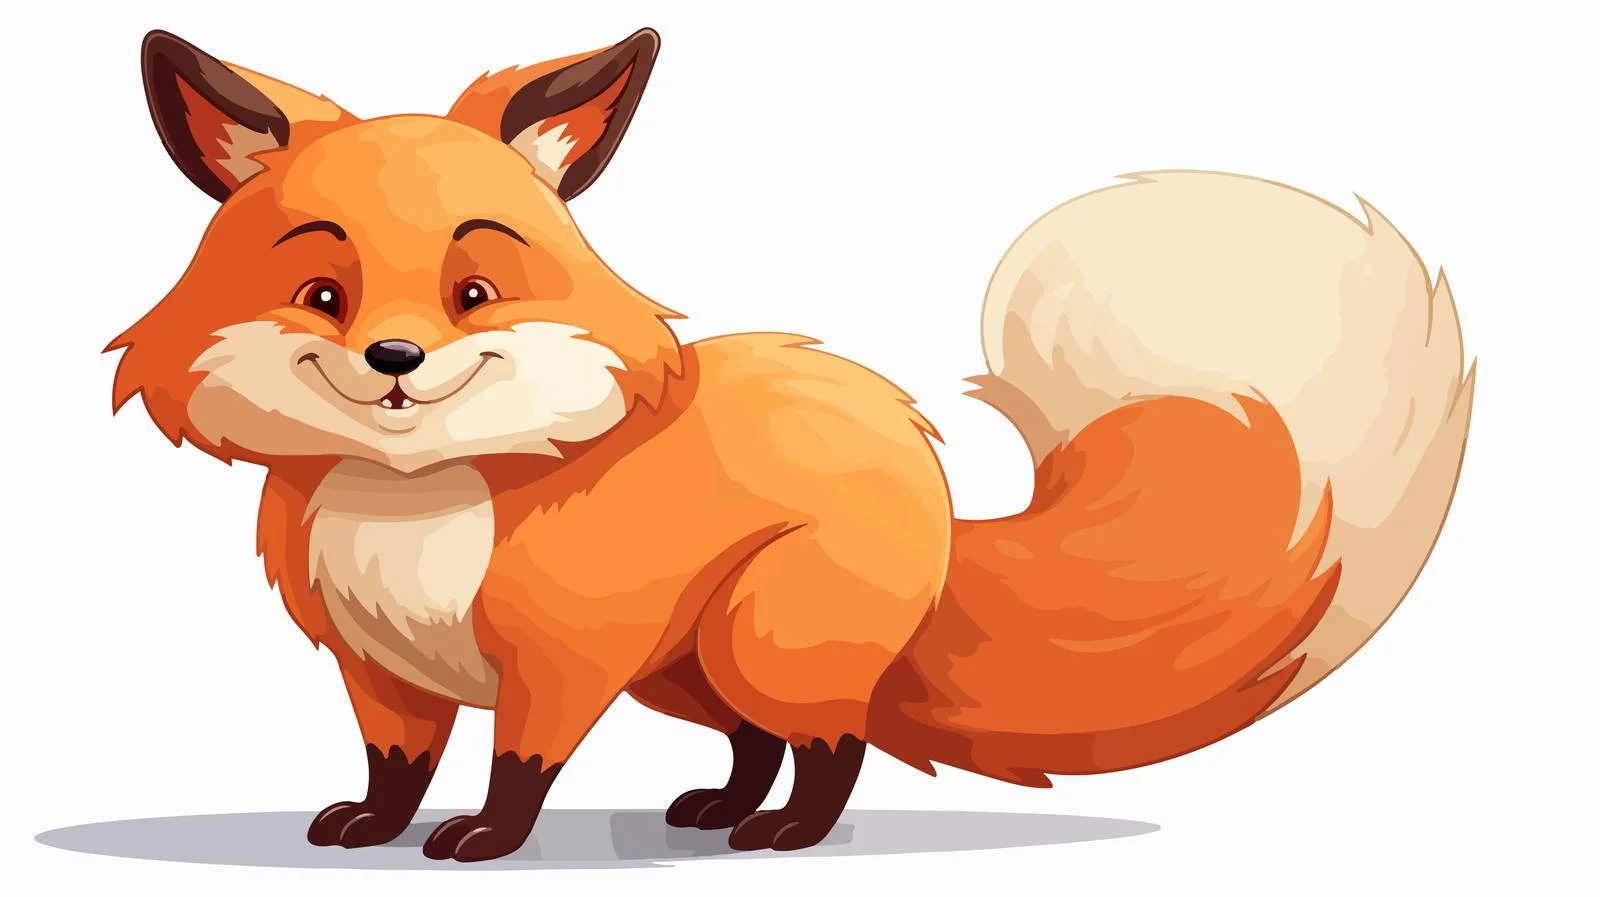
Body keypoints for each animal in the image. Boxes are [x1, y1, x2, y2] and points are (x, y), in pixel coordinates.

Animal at [109, 27, 1474, 861]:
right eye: (323, 296)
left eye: (475, 295)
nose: (394, 362)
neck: (417, 503)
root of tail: (932, 490)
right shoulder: (380, 668)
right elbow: (396, 768)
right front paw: (374, 825)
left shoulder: (563, 656)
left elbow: (519, 768)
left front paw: (488, 842)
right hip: (688, 665)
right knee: (758, 741)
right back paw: (718, 810)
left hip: (757, 636)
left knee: (831, 743)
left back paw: (785, 837)